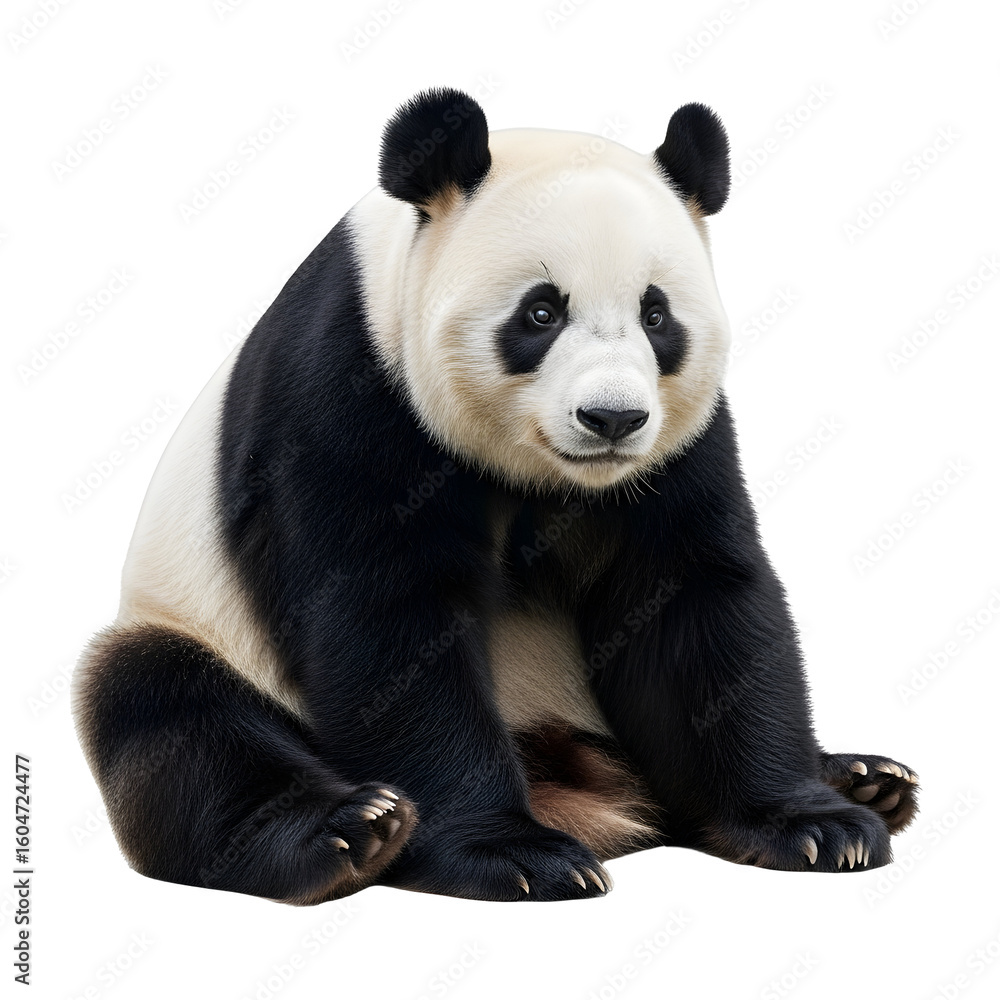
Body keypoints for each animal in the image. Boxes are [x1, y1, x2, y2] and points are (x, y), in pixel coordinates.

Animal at [72, 88, 919, 904]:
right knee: (170, 715)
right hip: (194, 622)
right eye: (541, 311)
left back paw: (866, 779)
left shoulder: (680, 449)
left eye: (656, 315)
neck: (544, 475)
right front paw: (512, 856)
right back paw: (348, 832)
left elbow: (693, 604)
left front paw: (813, 826)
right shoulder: (348, 388)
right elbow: (386, 620)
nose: (612, 418)